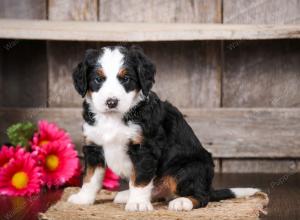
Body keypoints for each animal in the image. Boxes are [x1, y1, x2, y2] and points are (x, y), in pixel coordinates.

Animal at [68, 45, 260, 211]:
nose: (111, 102)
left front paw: (137, 204)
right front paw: (83, 199)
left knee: (201, 196)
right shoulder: (93, 146)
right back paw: (127, 195)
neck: (113, 118)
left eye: (126, 79)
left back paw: (182, 202)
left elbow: (140, 179)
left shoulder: (145, 148)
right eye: (98, 79)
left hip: (188, 168)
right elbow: (90, 177)